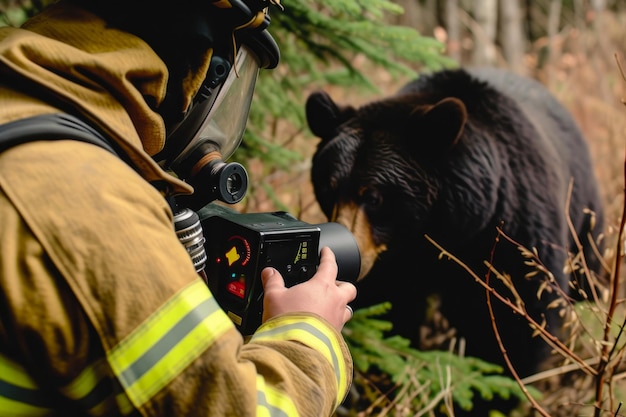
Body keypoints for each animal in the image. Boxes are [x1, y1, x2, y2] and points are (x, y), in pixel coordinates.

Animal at [304, 68, 604, 380]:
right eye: (329, 187)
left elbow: (524, 314)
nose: (349, 255)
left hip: (584, 216)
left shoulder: (515, 226)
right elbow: (390, 307)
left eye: (374, 197)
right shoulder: (395, 260)